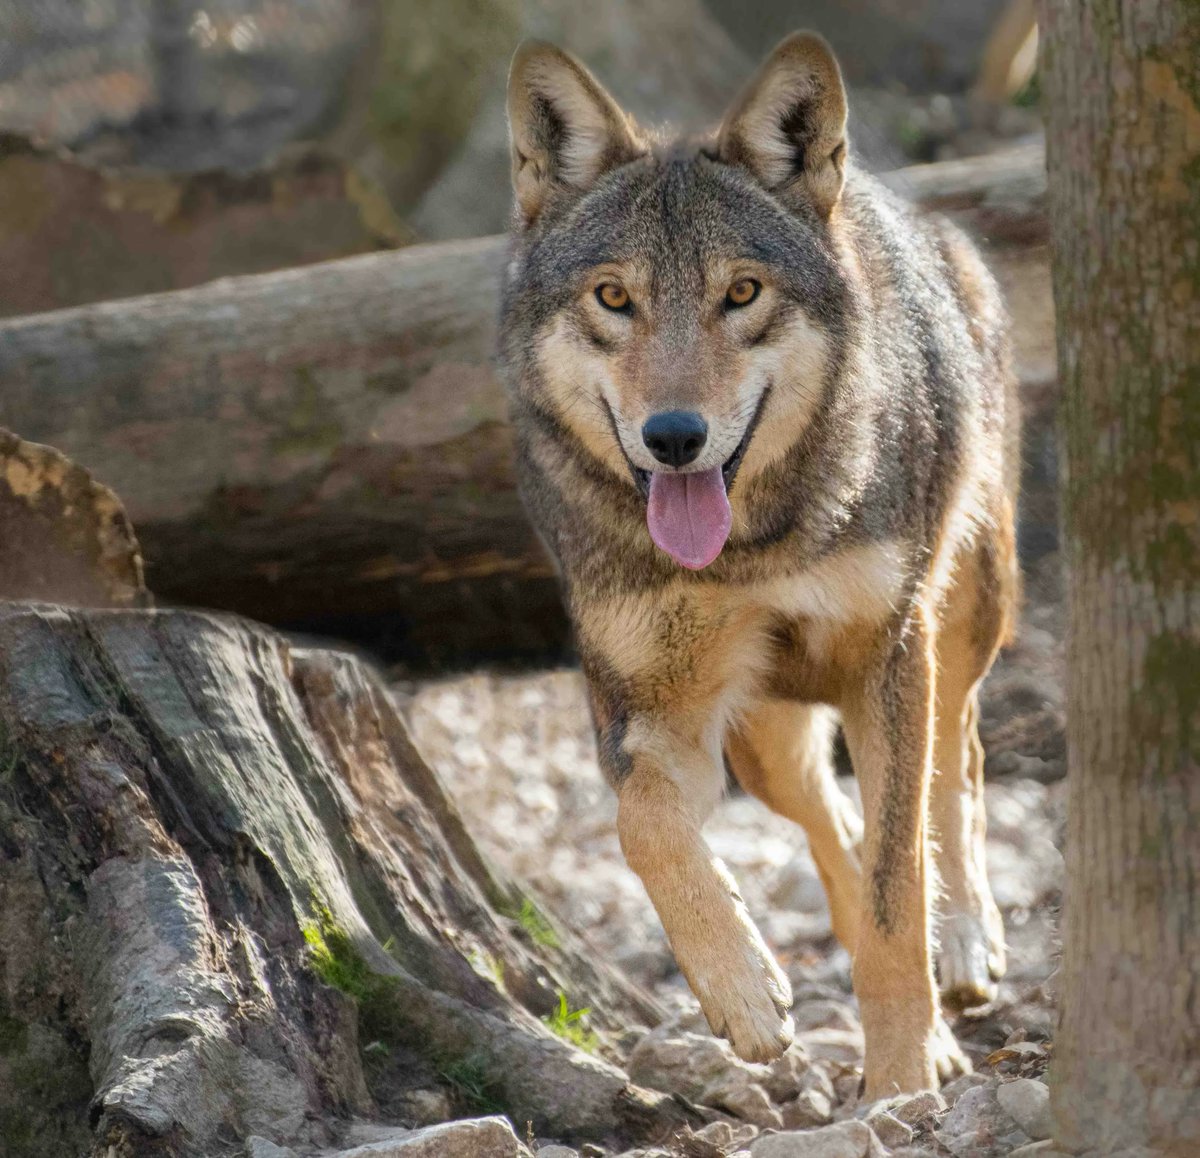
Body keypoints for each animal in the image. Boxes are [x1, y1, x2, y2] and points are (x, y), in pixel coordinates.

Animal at [499, 31, 1018, 1098]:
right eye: (614, 297)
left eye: (741, 293)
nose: (674, 437)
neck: (748, 551)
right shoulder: (654, 711)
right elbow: (645, 827)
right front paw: (740, 988)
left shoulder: (889, 656)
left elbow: (898, 890)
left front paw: (903, 1079)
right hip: (767, 739)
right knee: (832, 824)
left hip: (960, 618)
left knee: (958, 764)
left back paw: (966, 943)